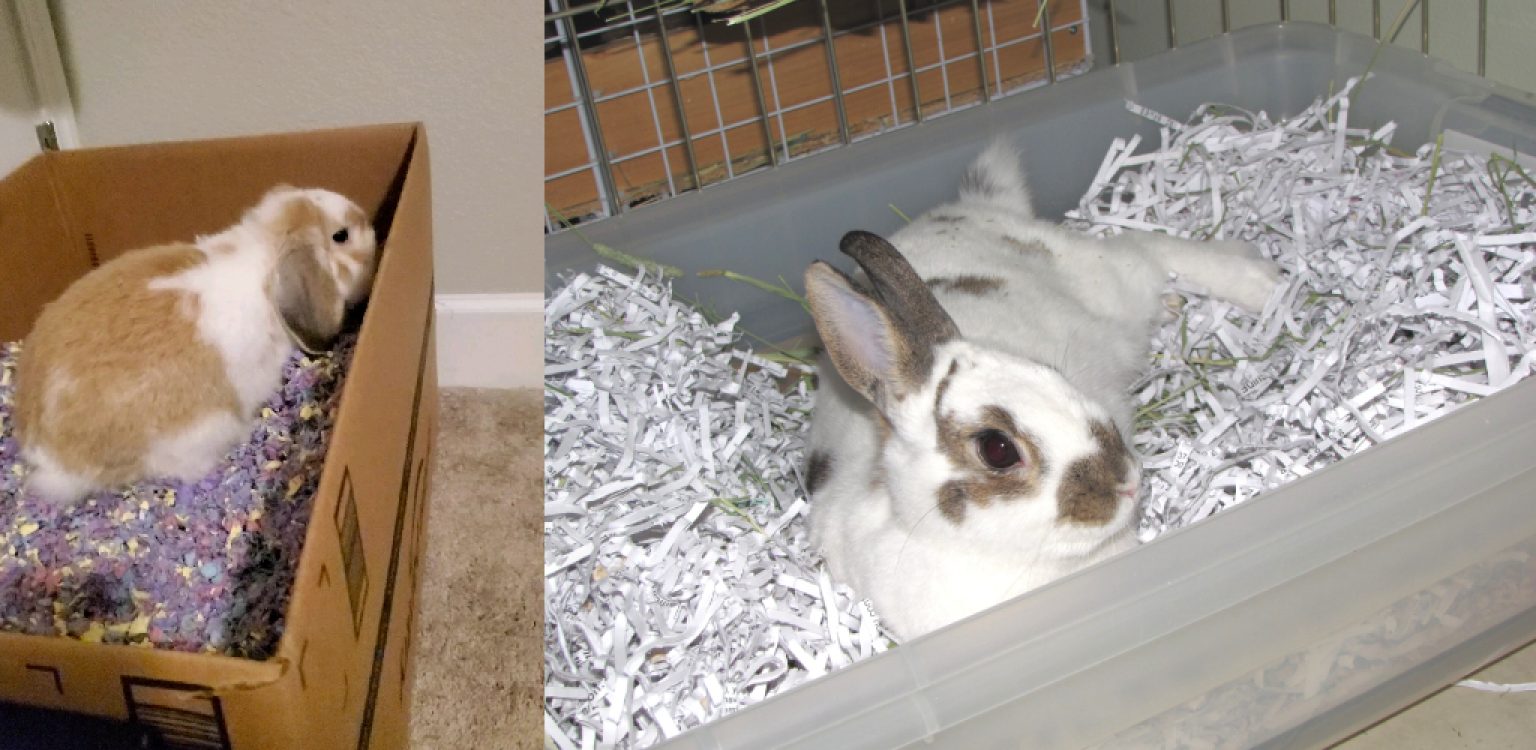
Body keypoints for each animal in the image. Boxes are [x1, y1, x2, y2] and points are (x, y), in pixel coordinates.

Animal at [802, 139, 1282, 640]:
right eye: (997, 449)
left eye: (1050, 373)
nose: (1128, 482)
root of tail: (973, 207)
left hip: (1108, 276)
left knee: (1151, 249)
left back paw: (1265, 285)